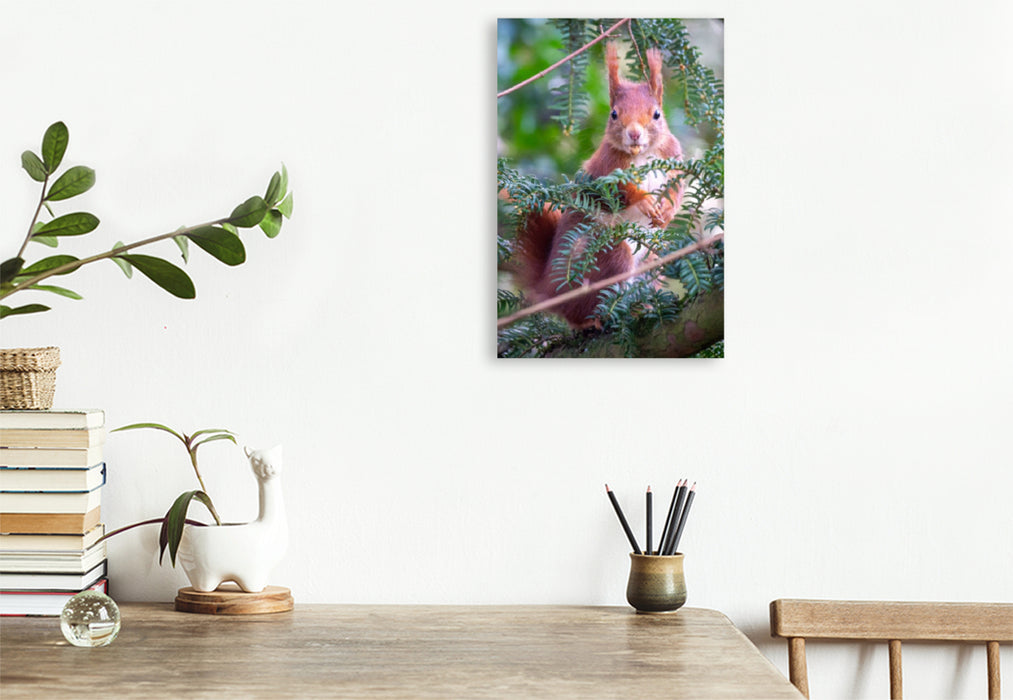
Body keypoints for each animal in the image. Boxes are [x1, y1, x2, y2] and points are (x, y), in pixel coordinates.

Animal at [513, 44, 684, 329]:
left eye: (657, 114)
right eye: (614, 114)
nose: (634, 134)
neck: (642, 154)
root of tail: (552, 290)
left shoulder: (674, 160)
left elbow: (678, 188)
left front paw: (667, 211)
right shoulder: (605, 171)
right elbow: (619, 191)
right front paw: (644, 201)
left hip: (652, 260)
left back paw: (645, 306)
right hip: (609, 257)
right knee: (585, 309)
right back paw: (598, 319)